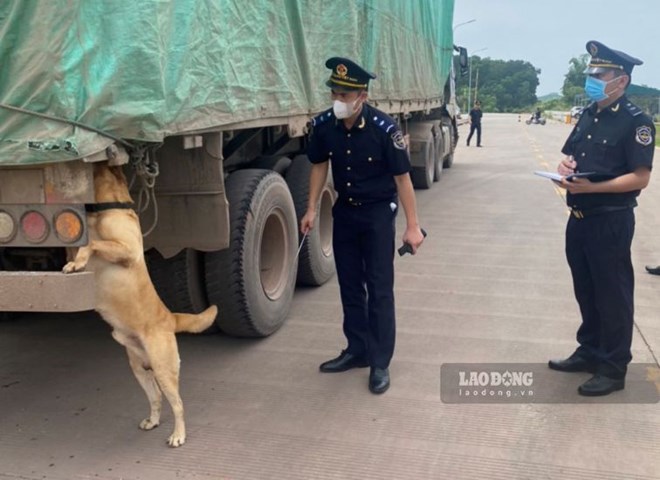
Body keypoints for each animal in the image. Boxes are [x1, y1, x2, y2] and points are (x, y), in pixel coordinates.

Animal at [62, 161, 217, 446]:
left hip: (165, 369)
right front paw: (74, 263)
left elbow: (93, 242)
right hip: (140, 370)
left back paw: (178, 435)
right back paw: (153, 421)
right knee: (156, 398)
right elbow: (82, 246)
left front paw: (78, 261)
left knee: (178, 404)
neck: (109, 206)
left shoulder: (127, 250)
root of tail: (170, 317)